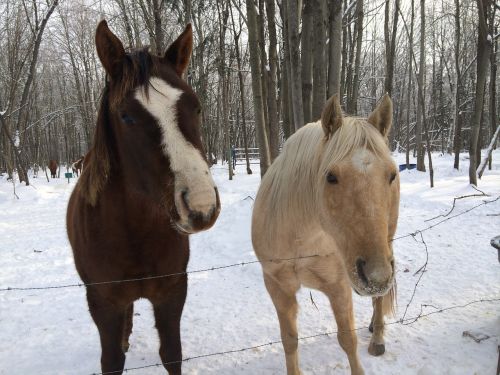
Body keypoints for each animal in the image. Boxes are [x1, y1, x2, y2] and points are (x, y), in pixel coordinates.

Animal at [67, 21, 221, 375]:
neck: (134, 231)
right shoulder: (103, 303)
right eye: (126, 116)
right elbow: (112, 361)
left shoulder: (172, 293)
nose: (201, 206)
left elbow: (172, 353)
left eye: (196, 106)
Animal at [252, 95, 400, 374]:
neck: (302, 240)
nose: (375, 277)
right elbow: (289, 341)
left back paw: (377, 338)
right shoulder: (278, 286)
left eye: (391, 175)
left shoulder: (339, 286)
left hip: (386, 244)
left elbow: (348, 340)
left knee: (378, 299)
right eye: (331, 177)